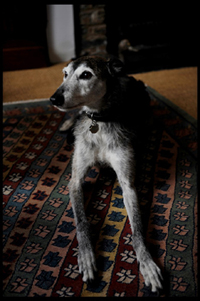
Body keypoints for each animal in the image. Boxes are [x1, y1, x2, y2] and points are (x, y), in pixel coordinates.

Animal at [49, 55, 162, 290]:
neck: (98, 122)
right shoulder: (75, 181)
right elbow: (82, 222)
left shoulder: (128, 185)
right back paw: (67, 124)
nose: (54, 99)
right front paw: (86, 256)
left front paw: (147, 263)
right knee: (75, 115)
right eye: (65, 73)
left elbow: (138, 230)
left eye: (86, 75)